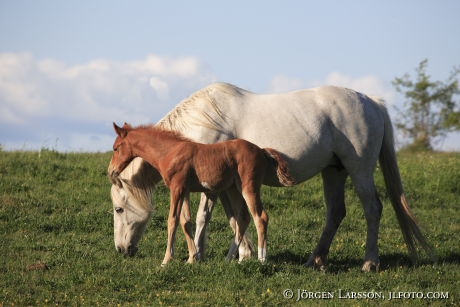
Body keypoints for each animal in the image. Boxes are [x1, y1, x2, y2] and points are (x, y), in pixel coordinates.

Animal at [109, 82, 436, 272]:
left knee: (372, 209)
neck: (197, 127)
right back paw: (316, 260)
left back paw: (370, 262)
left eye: (119, 209)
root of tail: (373, 102)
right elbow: (234, 217)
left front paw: (198, 256)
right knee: (335, 213)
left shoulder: (209, 187)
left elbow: (203, 217)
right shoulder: (226, 185)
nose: (122, 250)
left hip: (360, 170)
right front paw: (243, 253)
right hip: (334, 172)